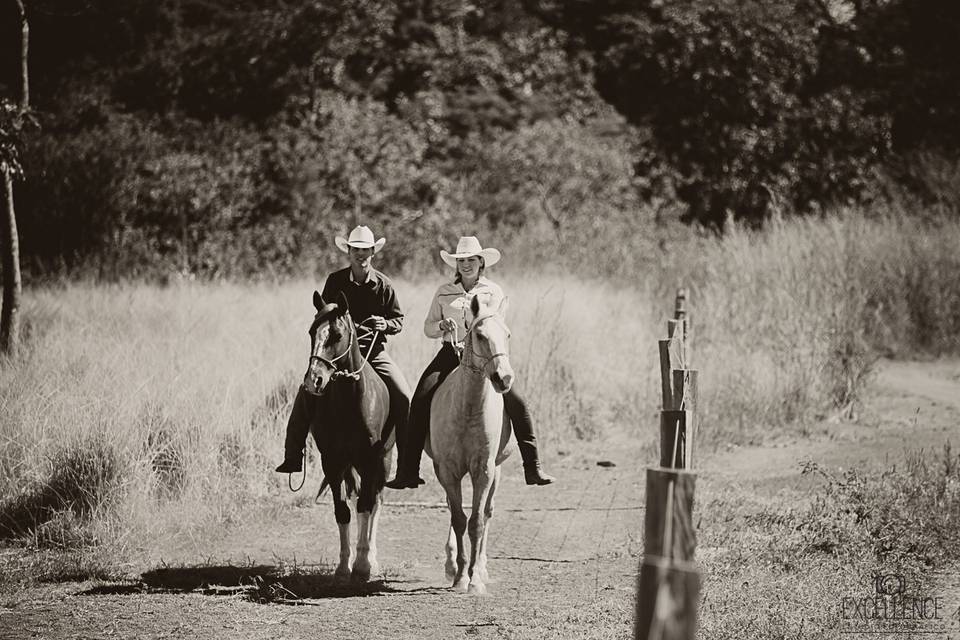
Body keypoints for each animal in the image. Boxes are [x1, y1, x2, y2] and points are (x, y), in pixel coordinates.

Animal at [300, 290, 390, 580]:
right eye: (311, 332)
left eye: (337, 335)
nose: (314, 380)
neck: (351, 401)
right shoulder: (333, 462)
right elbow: (343, 511)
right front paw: (343, 567)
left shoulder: (370, 461)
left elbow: (365, 506)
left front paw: (362, 565)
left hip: (383, 463)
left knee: (375, 502)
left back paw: (372, 557)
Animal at [426, 296, 512, 596]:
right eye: (481, 335)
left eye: (507, 335)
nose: (504, 379)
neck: (467, 409)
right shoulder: (448, 470)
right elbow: (459, 518)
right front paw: (460, 575)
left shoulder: (483, 469)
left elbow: (476, 522)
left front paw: (474, 580)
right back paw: (451, 564)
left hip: (497, 470)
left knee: (487, 512)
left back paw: (482, 568)